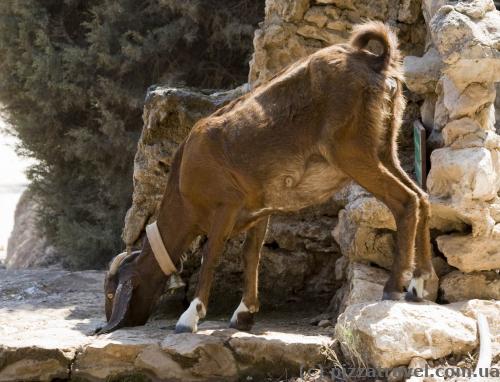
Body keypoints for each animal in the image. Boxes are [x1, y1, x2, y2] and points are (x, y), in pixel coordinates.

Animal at [98, 22, 434, 334]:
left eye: (111, 294)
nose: (110, 322)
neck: (183, 181)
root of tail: (376, 63)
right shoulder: (259, 209)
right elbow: (252, 254)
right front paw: (243, 314)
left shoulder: (226, 205)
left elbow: (211, 255)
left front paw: (190, 317)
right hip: (384, 146)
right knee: (422, 196)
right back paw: (419, 283)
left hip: (353, 152)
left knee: (405, 201)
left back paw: (395, 286)